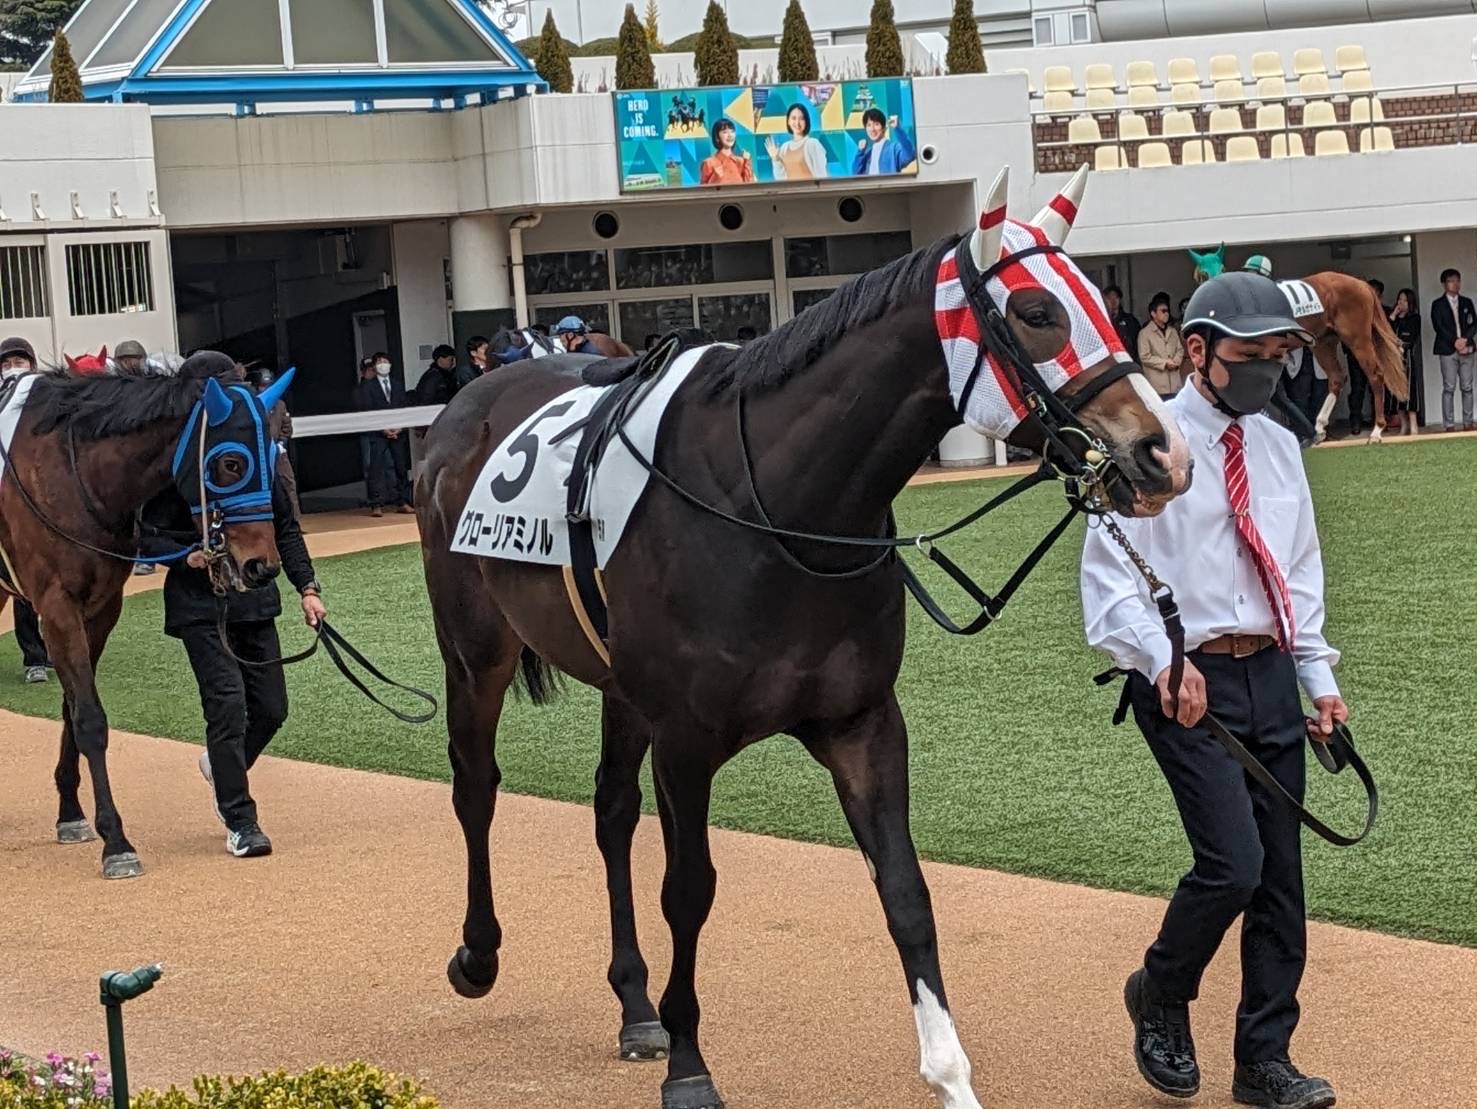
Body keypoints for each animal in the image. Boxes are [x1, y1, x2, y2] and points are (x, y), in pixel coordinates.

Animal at [0, 354, 296, 878]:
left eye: (274, 447)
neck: (71, 469)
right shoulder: (56, 605)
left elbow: (72, 708)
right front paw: (116, 842)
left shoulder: (100, 608)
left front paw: (70, 814)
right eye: (231, 462)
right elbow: (91, 719)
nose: (262, 565)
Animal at [416, 166, 1192, 1109]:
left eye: (1104, 307)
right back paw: (480, 953)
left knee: (609, 810)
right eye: (1038, 311)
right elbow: (690, 889)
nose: (1163, 454)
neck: (779, 506)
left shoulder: (862, 724)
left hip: (620, 688)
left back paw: (634, 1003)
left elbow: (904, 889)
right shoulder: (686, 738)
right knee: (476, 785)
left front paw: (950, 1072)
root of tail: (472, 398)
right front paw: (690, 1063)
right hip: (475, 654)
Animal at [1188, 246, 1409, 442]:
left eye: (1222, 268)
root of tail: (1363, 285)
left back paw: (1376, 431)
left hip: (1357, 339)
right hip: (1324, 342)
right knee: (1337, 378)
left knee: (1375, 376)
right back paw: (1319, 426)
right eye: (1203, 272)